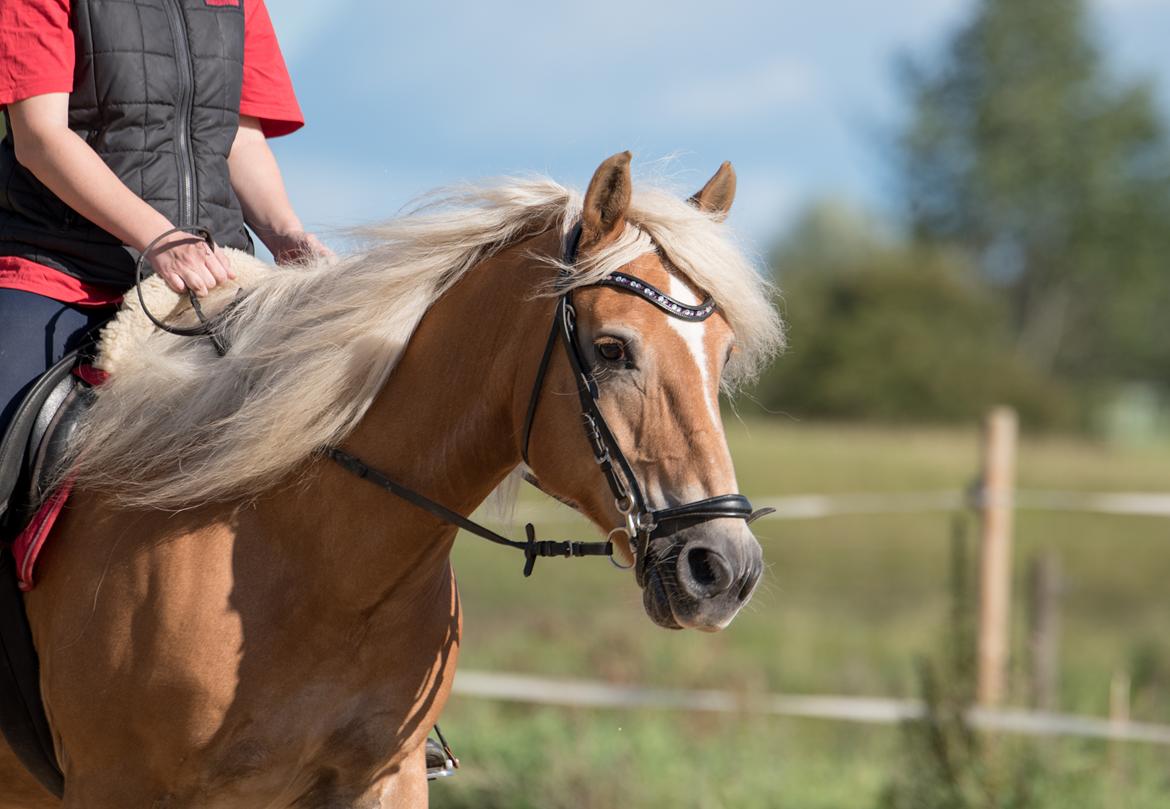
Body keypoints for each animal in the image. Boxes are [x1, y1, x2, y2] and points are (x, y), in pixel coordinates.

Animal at [2, 153, 786, 809]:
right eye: (612, 348)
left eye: (723, 356)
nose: (724, 569)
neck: (316, 561)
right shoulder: (117, 783)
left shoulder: (384, 778)